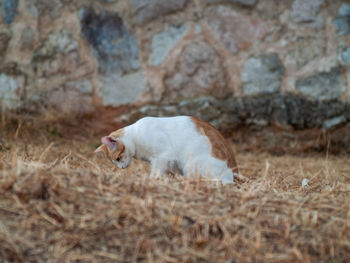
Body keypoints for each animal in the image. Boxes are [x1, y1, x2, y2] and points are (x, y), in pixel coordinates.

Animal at [94, 116, 239, 185]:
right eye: (115, 162)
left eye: (118, 158)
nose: (121, 168)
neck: (135, 135)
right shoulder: (170, 163)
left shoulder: (163, 157)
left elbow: (156, 172)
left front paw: (152, 181)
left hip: (191, 165)